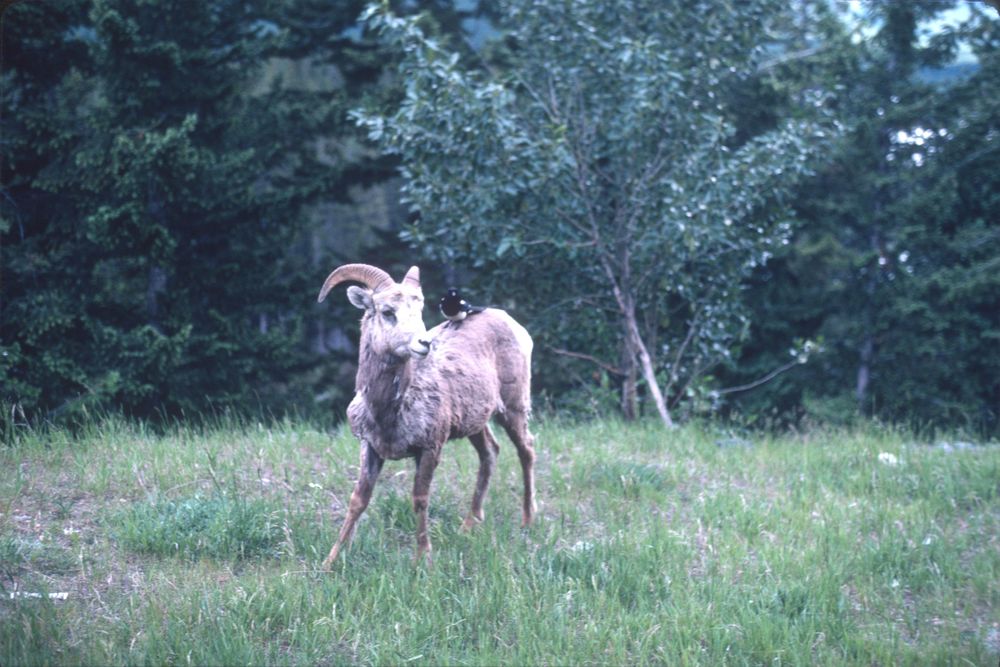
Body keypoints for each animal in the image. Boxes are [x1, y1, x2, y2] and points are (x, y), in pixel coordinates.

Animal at [320, 264, 540, 568]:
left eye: (420, 308)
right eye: (387, 311)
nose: (424, 343)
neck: (389, 412)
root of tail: (509, 321)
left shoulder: (430, 448)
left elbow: (420, 499)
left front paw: (422, 557)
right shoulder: (370, 447)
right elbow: (358, 500)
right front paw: (330, 561)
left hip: (513, 406)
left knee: (526, 450)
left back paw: (528, 520)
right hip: (476, 423)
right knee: (490, 452)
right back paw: (468, 526)